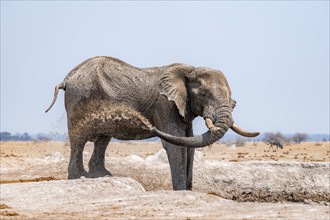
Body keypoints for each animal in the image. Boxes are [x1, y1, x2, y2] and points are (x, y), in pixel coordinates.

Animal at [45, 55, 258, 190]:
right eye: (204, 95)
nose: (148, 125)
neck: (190, 69)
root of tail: (67, 78)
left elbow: (189, 143)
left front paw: (188, 190)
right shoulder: (165, 105)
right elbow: (176, 143)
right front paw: (180, 191)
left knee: (103, 139)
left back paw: (101, 175)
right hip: (79, 98)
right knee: (79, 138)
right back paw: (79, 176)